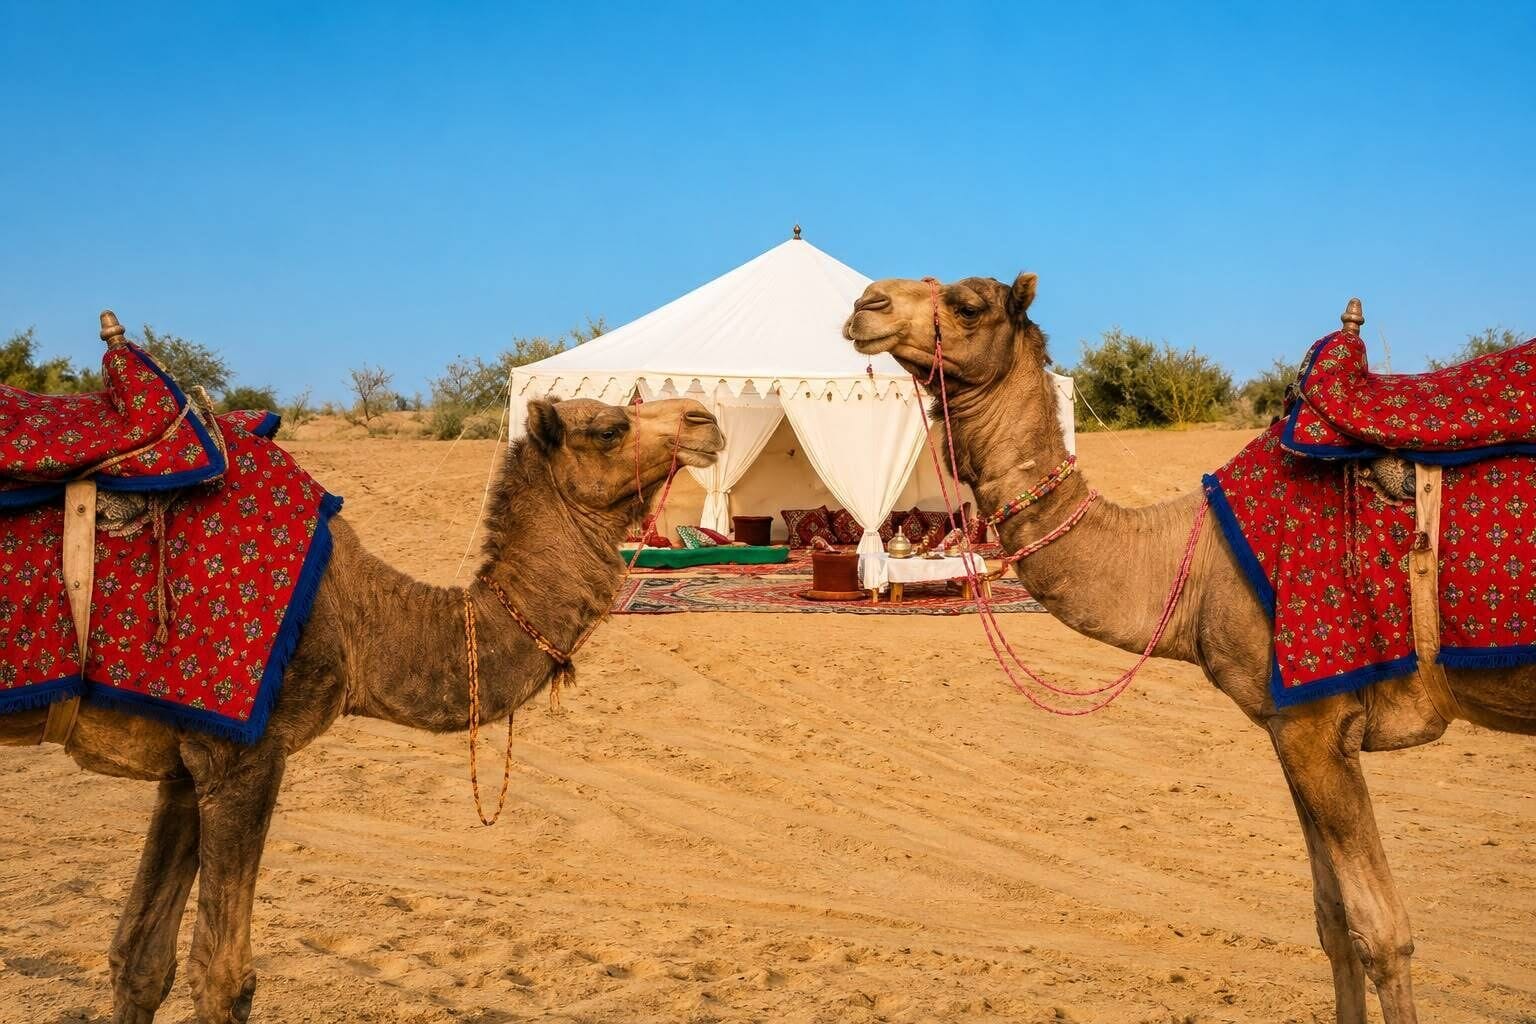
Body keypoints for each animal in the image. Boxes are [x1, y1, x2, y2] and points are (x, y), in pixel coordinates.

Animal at [0, 396, 724, 1024]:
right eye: (607, 428)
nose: (705, 417)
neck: (359, 616)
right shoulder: (242, 755)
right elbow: (224, 977)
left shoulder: (185, 759)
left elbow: (141, 960)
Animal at [843, 273, 1535, 1024]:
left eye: (969, 305)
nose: (866, 304)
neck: (1195, 559)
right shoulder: (1291, 727)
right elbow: (1331, 920)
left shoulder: (1318, 720)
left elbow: (1380, 930)